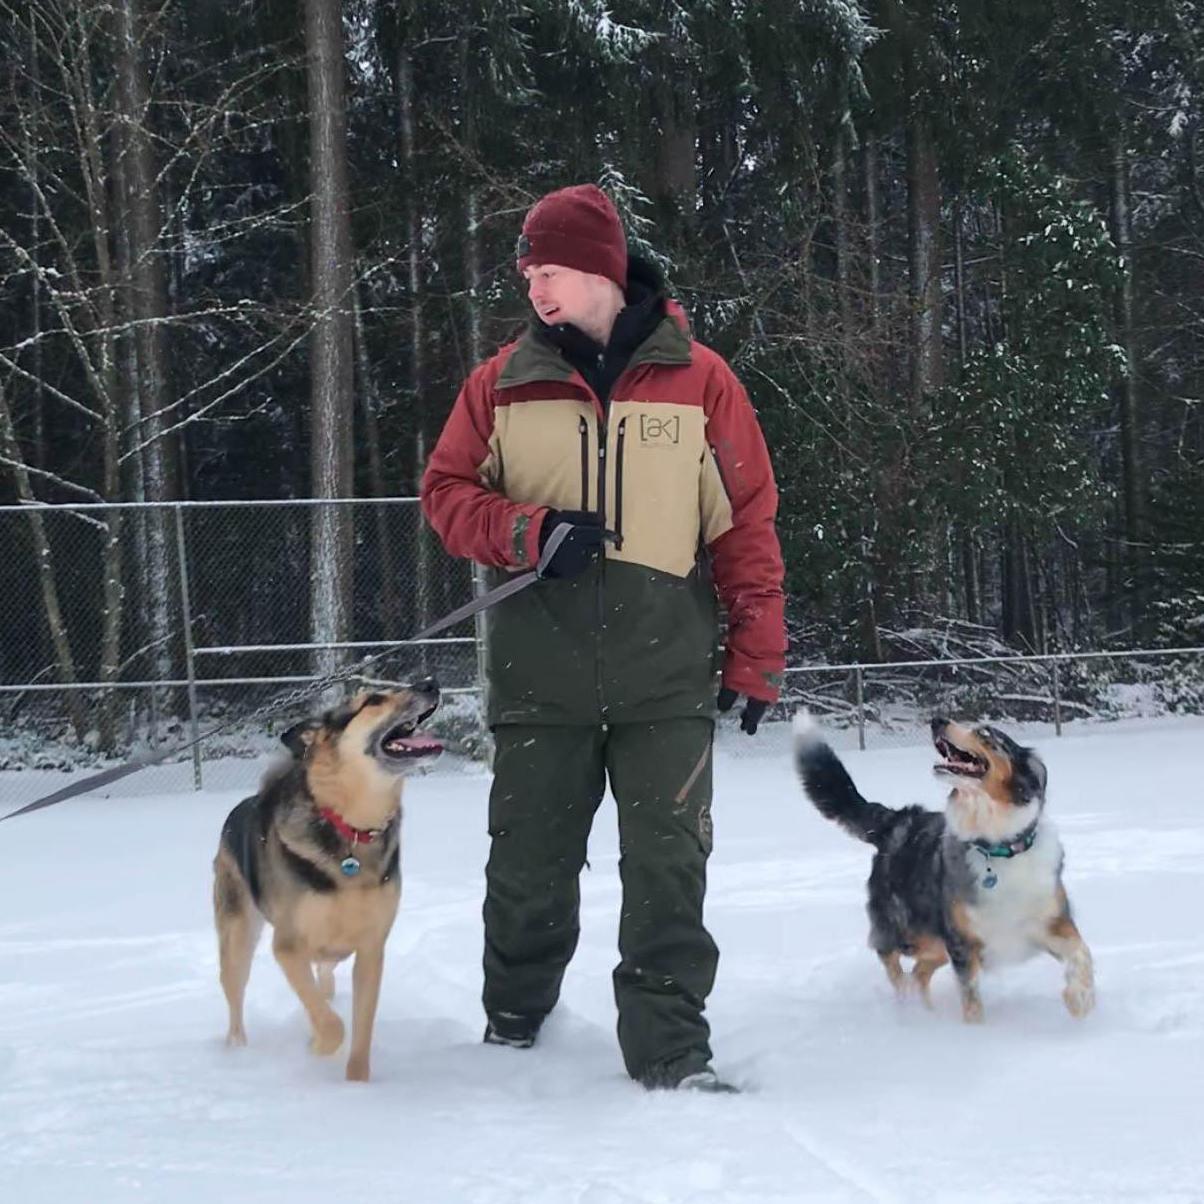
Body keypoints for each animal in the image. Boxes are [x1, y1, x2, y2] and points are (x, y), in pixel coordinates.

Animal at [213, 688, 443, 1083]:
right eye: (373, 700)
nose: (430, 682)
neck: (353, 830)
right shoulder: (287, 946)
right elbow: (332, 1024)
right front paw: (319, 1047)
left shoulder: (370, 950)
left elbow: (361, 1028)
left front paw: (356, 1085)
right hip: (237, 937)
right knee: (236, 997)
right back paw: (237, 1051)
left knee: (324, 977)